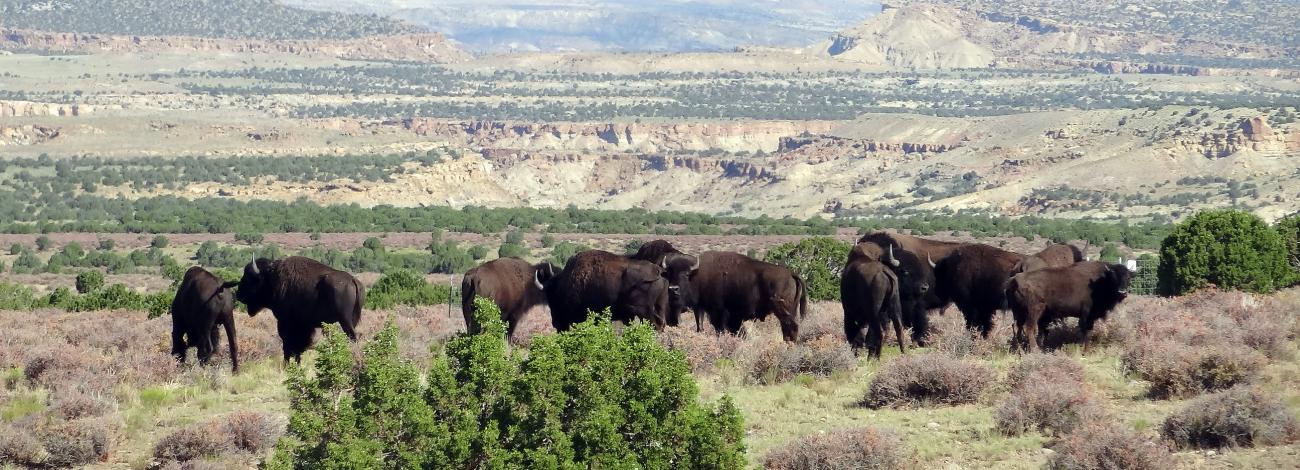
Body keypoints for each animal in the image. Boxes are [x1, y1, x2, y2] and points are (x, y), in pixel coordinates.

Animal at [235, 256, 365, 363]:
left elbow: (288, 344)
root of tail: (353, 280)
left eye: (249, 278)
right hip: (351, 320)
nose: (238, 294)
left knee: (352, 337)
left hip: (345, 320)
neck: (271, 278)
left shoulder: (286, 322)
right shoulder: (304, 326)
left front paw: (287, 365)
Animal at [542, 249, 672, 331]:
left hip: (643, 311)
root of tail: (659, 271)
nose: (555, 323)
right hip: (659, 306)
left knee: (657, 324)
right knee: (662, 323)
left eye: (551, 296)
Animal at [663, 251, 807, 342]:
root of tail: (791, 274)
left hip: (783, 311)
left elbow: (720, 330)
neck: (698, 275)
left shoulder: (718, 313)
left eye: (686, 274)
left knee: (791, 327)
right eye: (669, 273)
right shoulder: (704, 309)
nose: (673, 289)